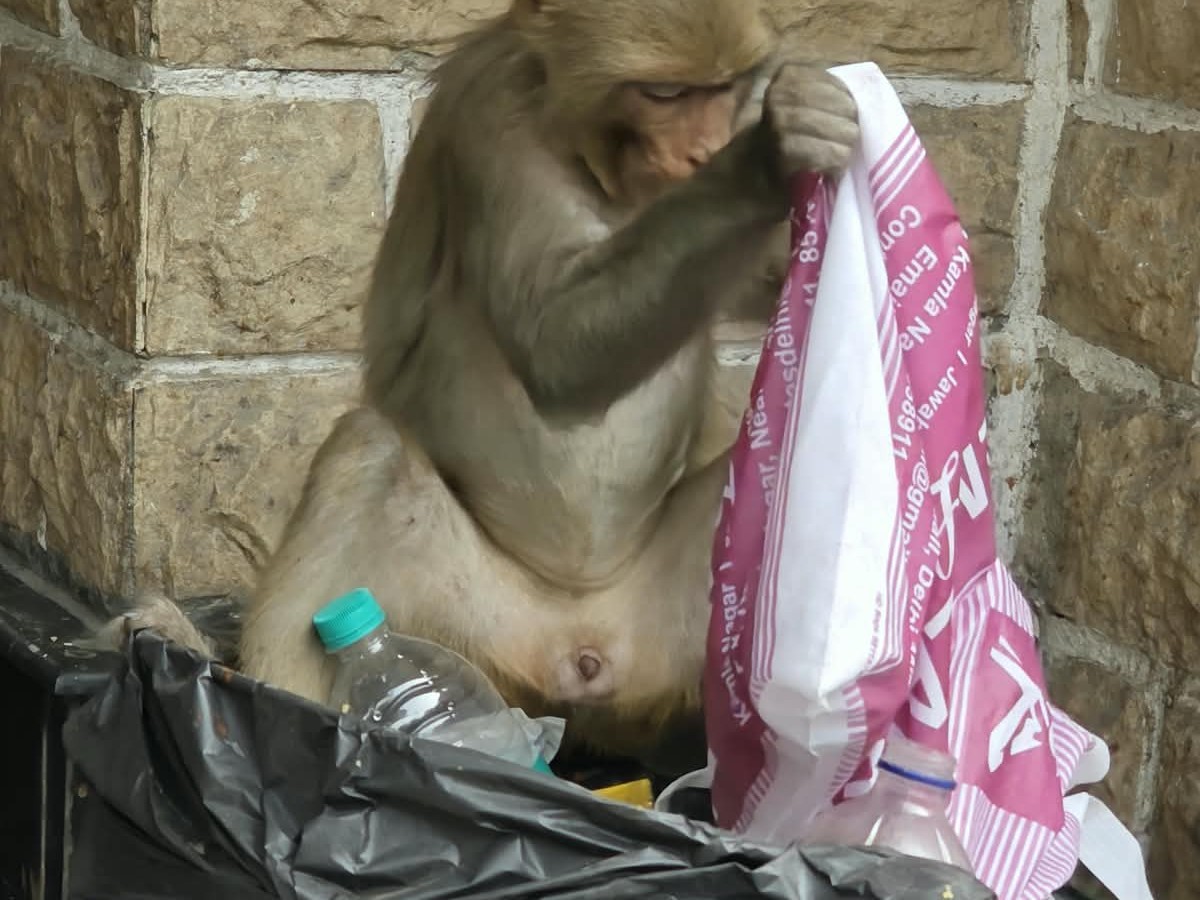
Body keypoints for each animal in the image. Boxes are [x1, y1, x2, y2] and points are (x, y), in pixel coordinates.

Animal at [114, 0, 859, 771]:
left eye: (726, 88)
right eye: (664, 94)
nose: (704, 153)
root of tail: (583, 650)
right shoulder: (494, 121)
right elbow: (554, 349)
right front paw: (766, 159)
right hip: (470, 619)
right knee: (369, 455)